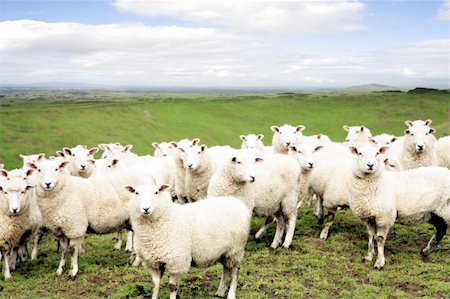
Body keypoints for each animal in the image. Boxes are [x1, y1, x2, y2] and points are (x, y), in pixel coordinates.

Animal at [28, 159, 158, 278]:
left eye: (56, 169)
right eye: (39, 170)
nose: (48, 183)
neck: (64, 189)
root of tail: (149, 177)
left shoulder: (75, 227)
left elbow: (73, 250)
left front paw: (73, 271)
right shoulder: (60, 229)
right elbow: (64, 251)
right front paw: (60, 269)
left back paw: (136, 262)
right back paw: (132, 259)